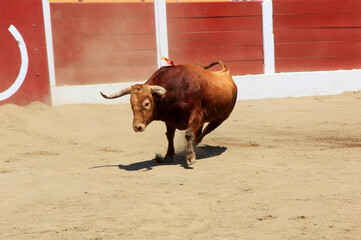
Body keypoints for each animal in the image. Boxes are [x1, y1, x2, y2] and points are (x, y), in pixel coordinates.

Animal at [100, 60, 236, 165]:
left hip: (221, 118)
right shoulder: (170, 119)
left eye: (147, 104)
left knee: (205, 131)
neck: (176, 88)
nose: (137, 127)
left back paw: (194, 145)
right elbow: (169, 136)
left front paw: (190, 156)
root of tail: (226, 72)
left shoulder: (195, 114)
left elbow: (189, 133)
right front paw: (168, 156)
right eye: (131, 104)